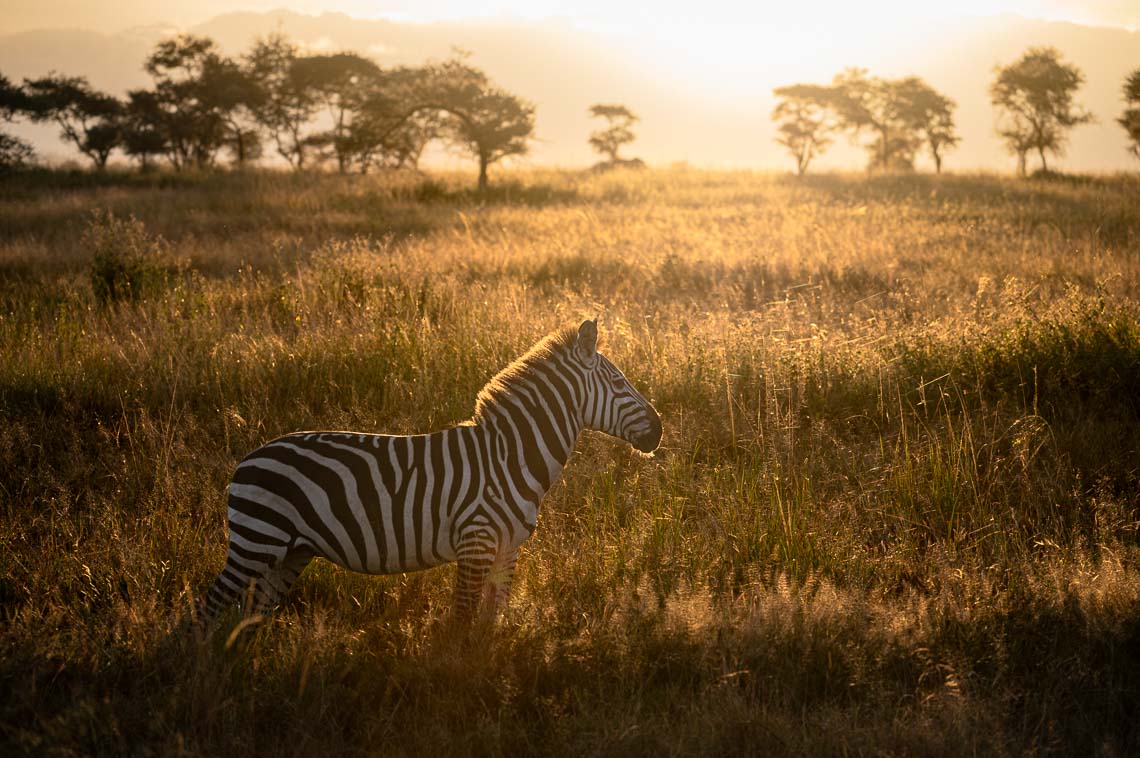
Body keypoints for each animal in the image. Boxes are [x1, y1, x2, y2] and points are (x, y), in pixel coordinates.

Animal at [201, 319, 665, 620]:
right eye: (619, 383)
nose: (659, 429)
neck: (510, 456)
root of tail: (247, 459)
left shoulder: (508, 550)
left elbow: (490, 624)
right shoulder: (476, 541)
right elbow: (460, 622)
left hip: (289, 553)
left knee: (250, 616)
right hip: (256, 542)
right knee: (207, 609)